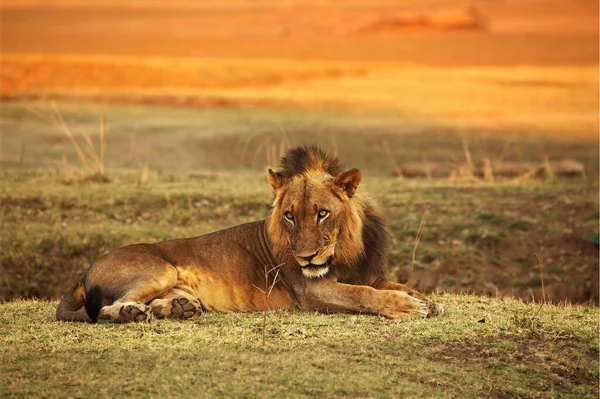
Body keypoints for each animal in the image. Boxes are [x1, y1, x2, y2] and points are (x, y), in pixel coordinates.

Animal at [56, 145, 442, 324]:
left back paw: (181, 307)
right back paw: (133, 313)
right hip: (159, 269)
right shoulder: (311, 290)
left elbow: (391, 285)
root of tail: (84, 272)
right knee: (107, 309)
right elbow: (363, 295)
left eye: (322, 214)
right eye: (289, 216)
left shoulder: (366, 273)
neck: (345, 248)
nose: (305, 258)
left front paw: (426, 300)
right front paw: (407, 306)